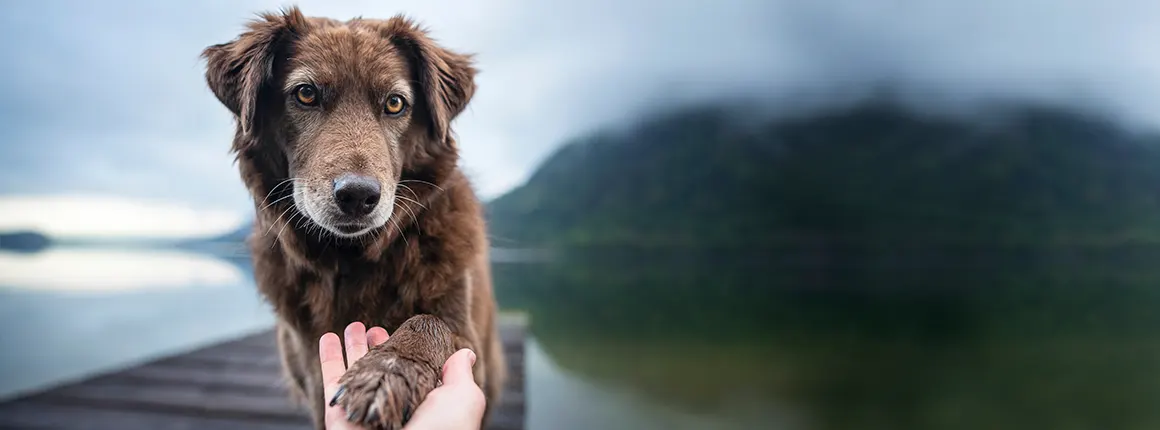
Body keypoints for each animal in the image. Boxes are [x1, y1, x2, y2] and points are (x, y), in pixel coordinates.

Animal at [198, 6, 503, 430]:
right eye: (306, 93)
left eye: (395, 103)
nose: (358, 196)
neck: (350, 260)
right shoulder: (311, 376)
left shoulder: (468, 340)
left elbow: (428, 323)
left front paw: (388, 371)